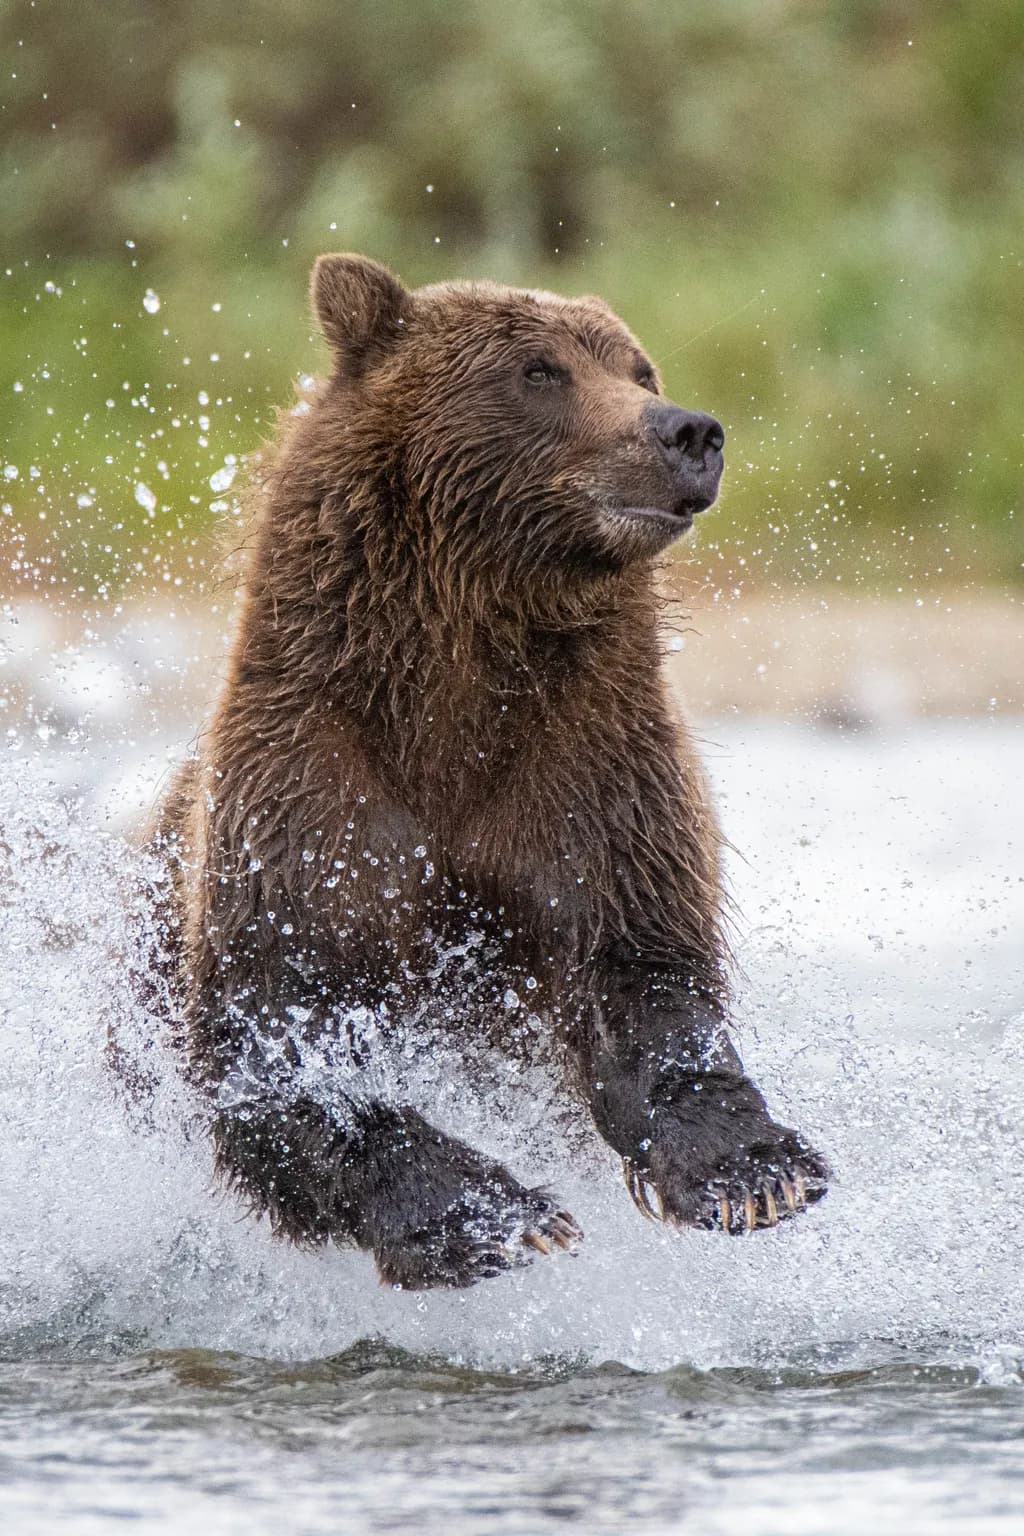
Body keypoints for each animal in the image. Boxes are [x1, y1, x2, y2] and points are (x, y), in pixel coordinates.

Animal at [152, 254, 828, 1289]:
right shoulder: (310, 784)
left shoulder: (588, 765)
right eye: (540, 370)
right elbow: (279, 1045)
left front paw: (755, 1172)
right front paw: (498, 1216)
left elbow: (644, 978)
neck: (456, 683)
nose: (689, 432)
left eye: (640, 369)